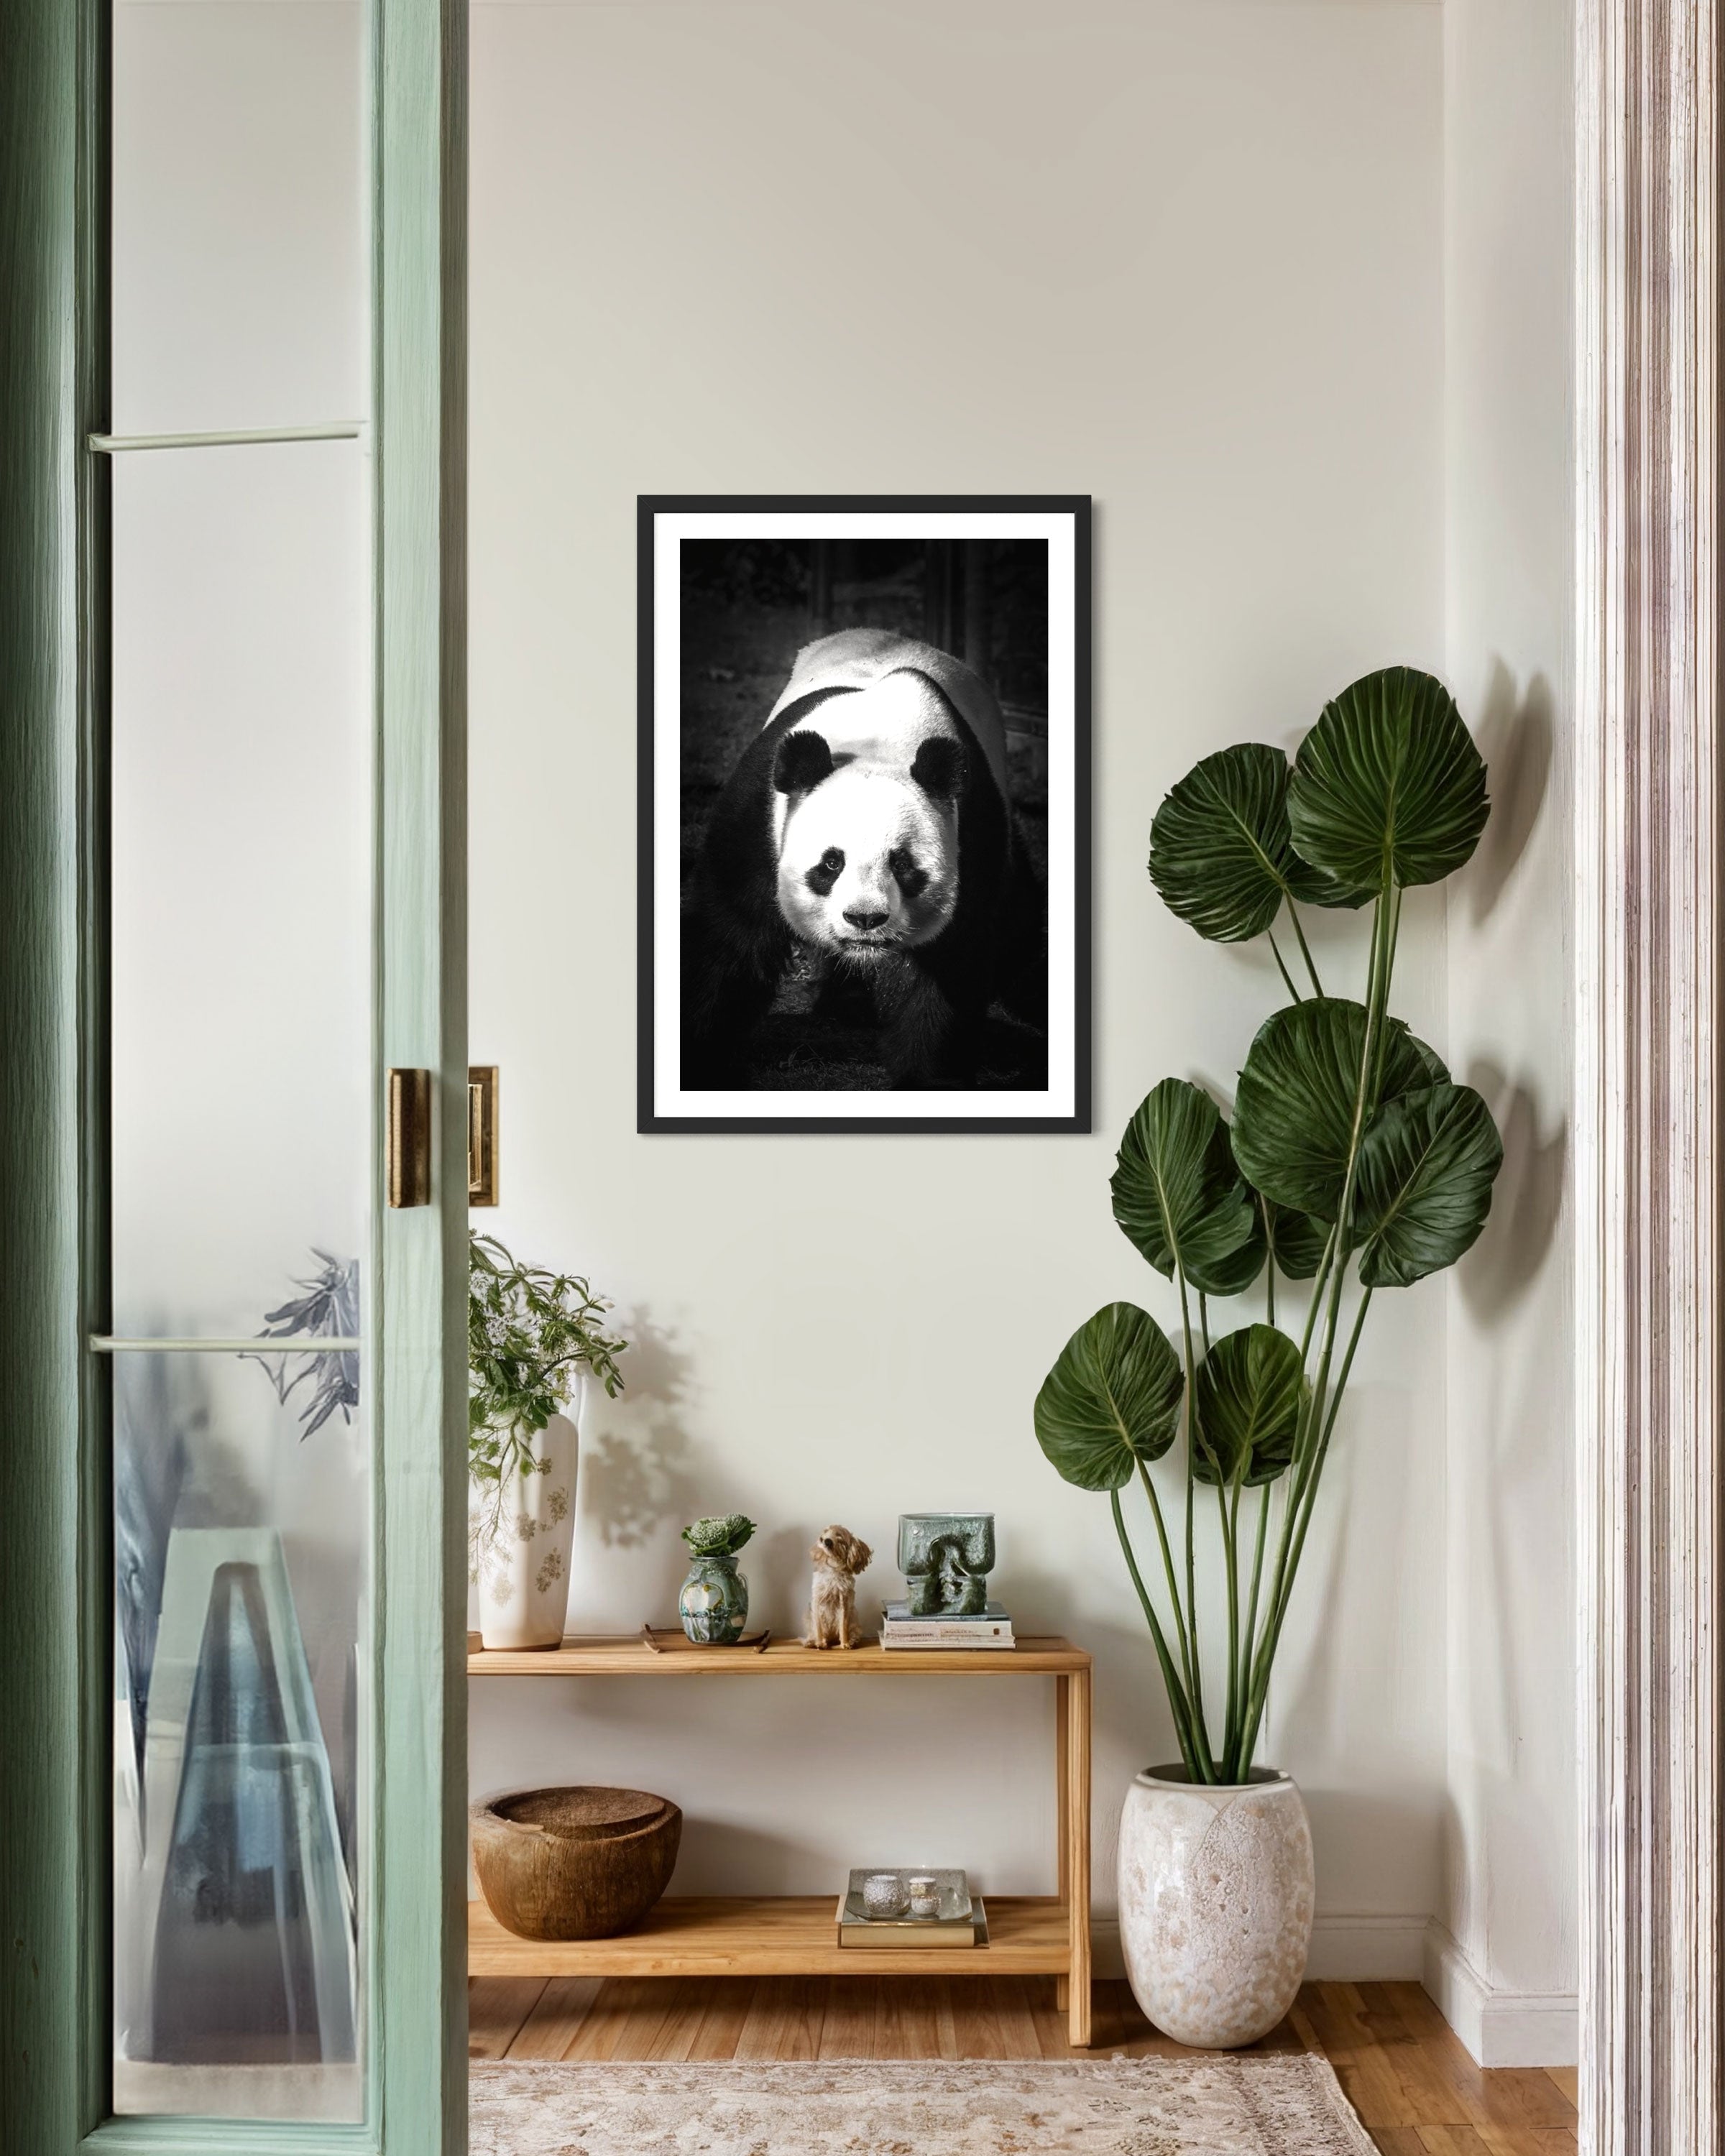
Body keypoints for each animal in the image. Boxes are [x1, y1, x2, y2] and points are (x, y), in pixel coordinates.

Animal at [682, 628, 1046, 1090]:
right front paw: (704, 1062)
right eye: (831, 863)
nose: (865, 919)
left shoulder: (972, 830)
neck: (878, 745)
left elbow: (951, 964)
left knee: (1019, 919)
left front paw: (924, 1078)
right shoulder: (758, 818)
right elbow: (730, 938)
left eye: (903, 865)